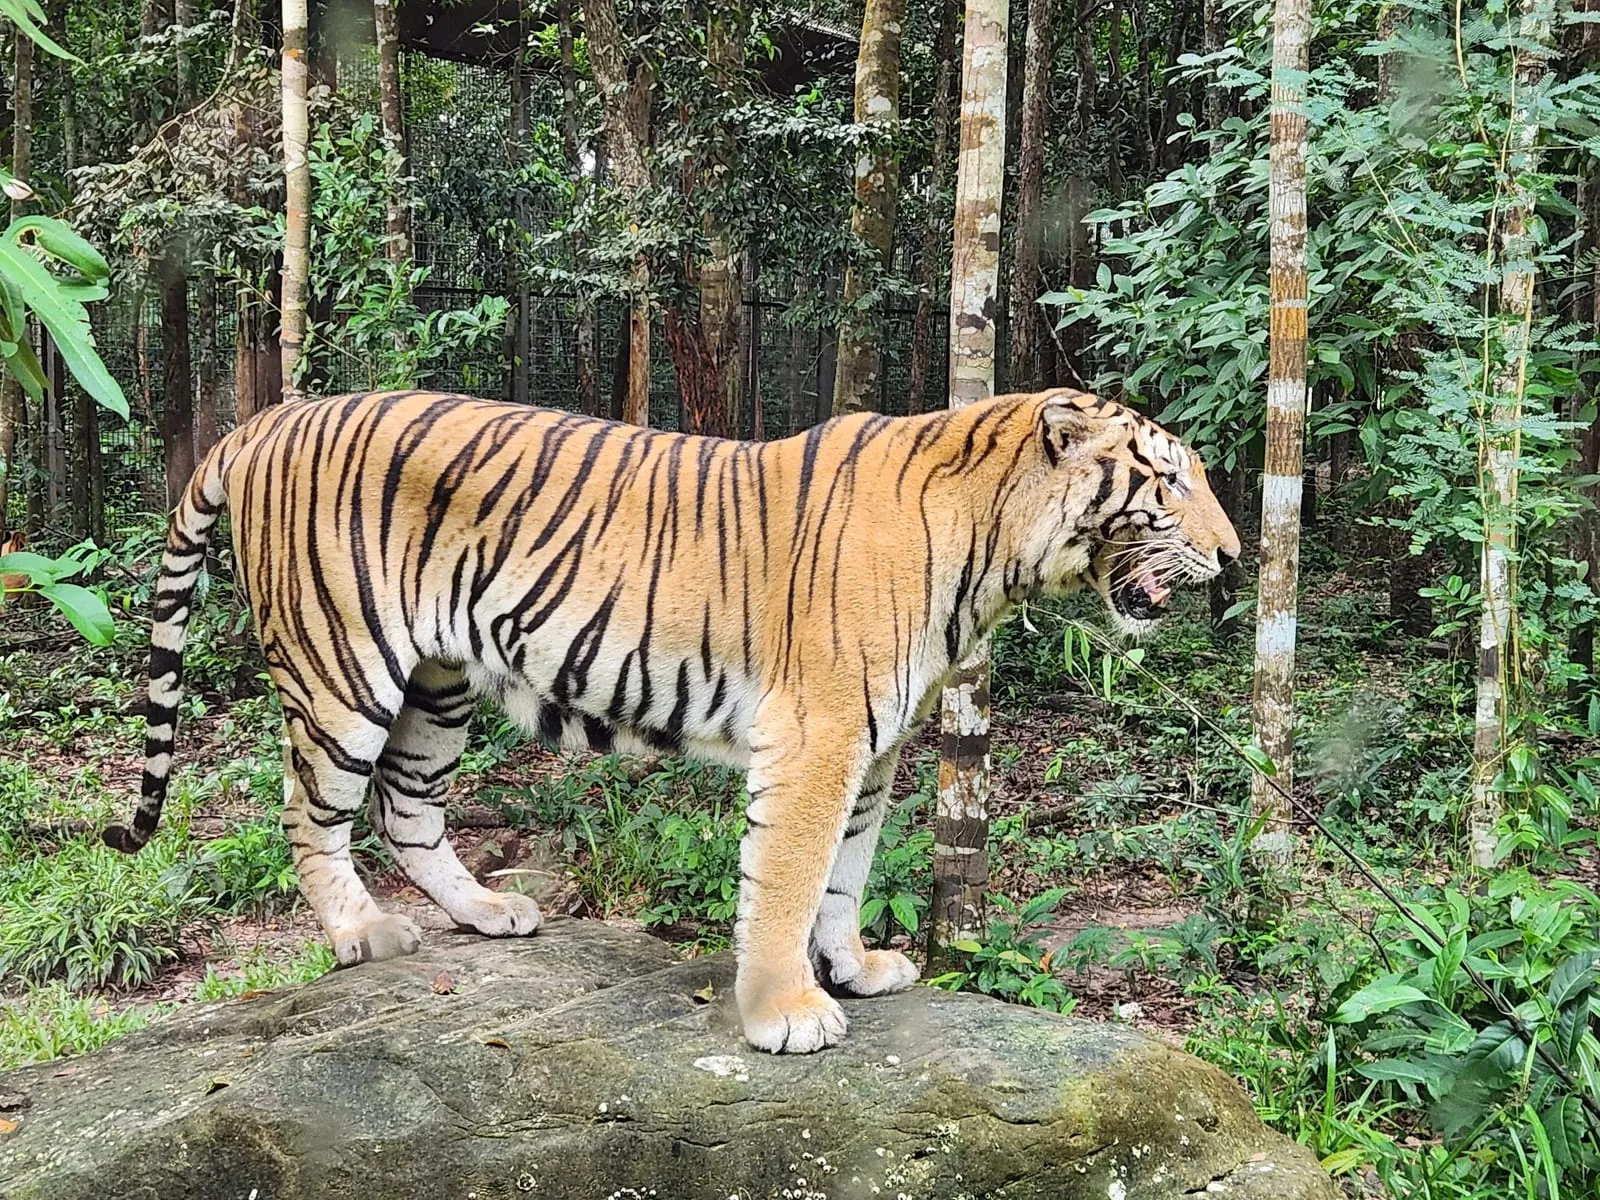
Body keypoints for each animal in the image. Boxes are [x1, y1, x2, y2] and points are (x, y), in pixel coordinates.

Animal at [103, 387, 1240, 1053]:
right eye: (1169, 479)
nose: (1235, 558)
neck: (993, 556)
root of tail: (263, 419)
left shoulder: (874, 749)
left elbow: (845, 873)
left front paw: (855, 969)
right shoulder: (820, 734)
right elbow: (786, 879)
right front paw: (784, 1011)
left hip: (440, 679)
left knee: (408, 810)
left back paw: (489, 912)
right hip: (343, 668)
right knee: (310, 809)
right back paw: (360, 933)